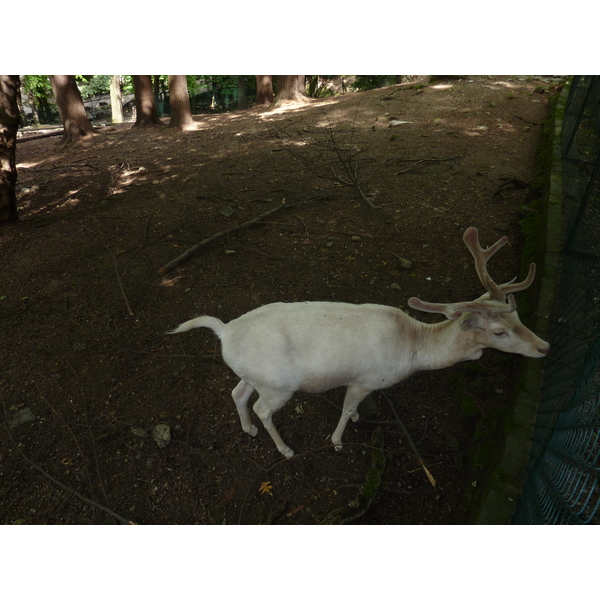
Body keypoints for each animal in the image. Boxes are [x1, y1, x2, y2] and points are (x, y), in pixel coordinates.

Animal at [168, 227, 548, 458]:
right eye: (498, 331)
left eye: (518, 317)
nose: (544, 347)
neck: (412, 351)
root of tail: (225, 332)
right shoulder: (364, 380)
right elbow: (349, 408)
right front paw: (338, 441)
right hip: (279, 385)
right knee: (262, 408)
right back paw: (285, 449)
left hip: (254, 374)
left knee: (238, 393)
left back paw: (248, 430)